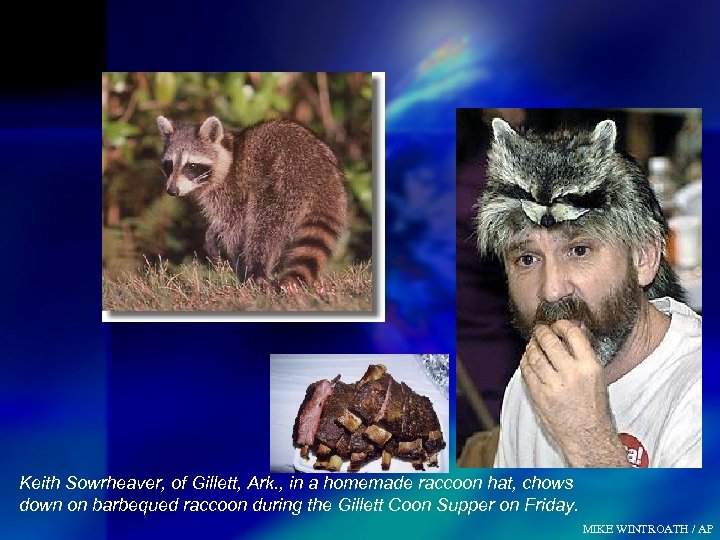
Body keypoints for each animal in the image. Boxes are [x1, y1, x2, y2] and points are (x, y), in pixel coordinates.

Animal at [158, 116, 348, 288]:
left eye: (191, 166)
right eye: (169, 165)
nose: (172, 190)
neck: (228, 156)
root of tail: (320, 176)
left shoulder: (233, 190)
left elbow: (234, 227)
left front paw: (240, 267)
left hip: (281, 186)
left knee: (262, 229)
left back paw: (257, 270)